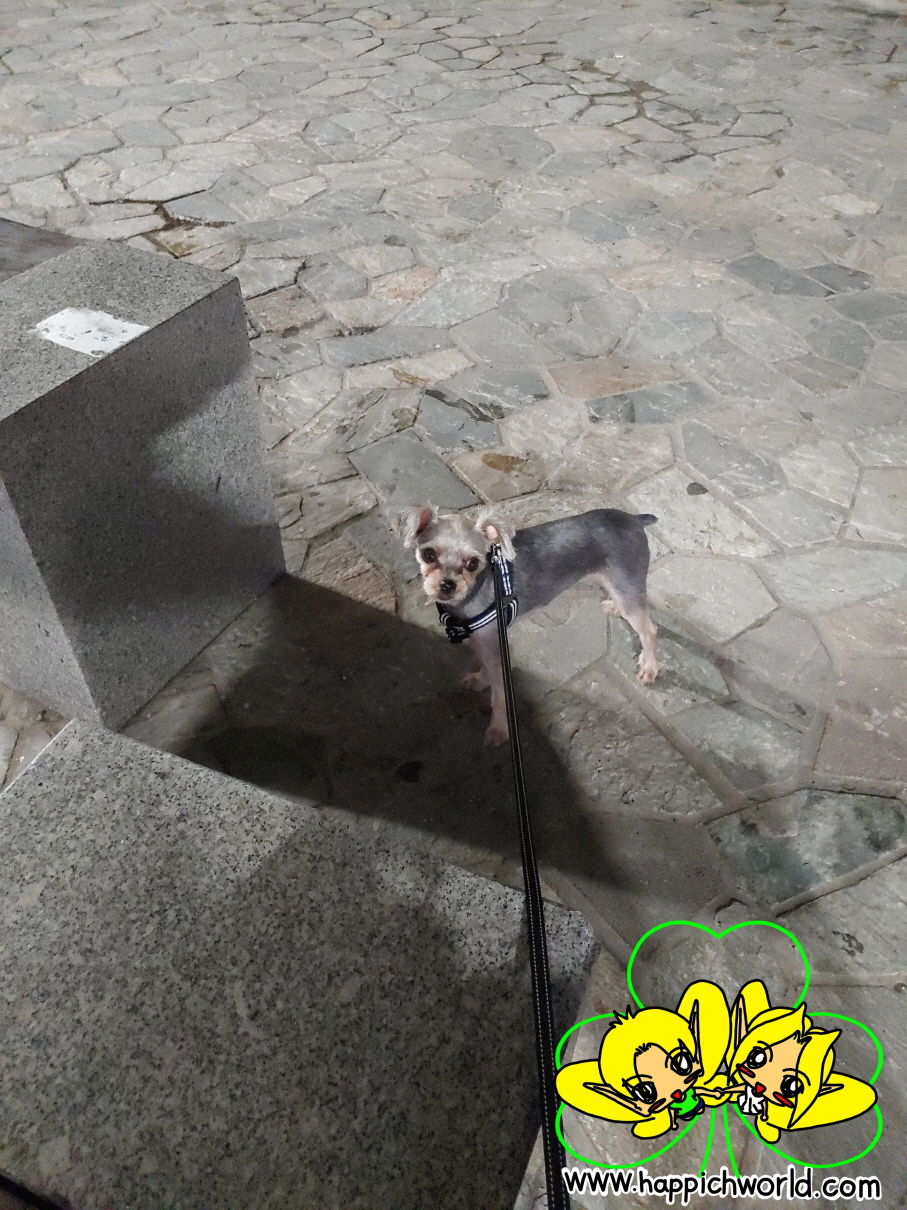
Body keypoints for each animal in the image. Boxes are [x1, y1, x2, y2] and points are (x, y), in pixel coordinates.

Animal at [398, 504, 659, 746]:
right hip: (615, 582)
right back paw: (615, 608)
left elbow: (499, 694)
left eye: (472, 563)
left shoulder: (494, 644)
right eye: (428, 555)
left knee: (648, 629)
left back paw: (649, 666)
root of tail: (634, 519)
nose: (447, 585)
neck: (478, 587)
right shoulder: (484, 640)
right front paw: (480, 680)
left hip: (627, 580)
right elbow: (486, 668)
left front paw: (499, 729)